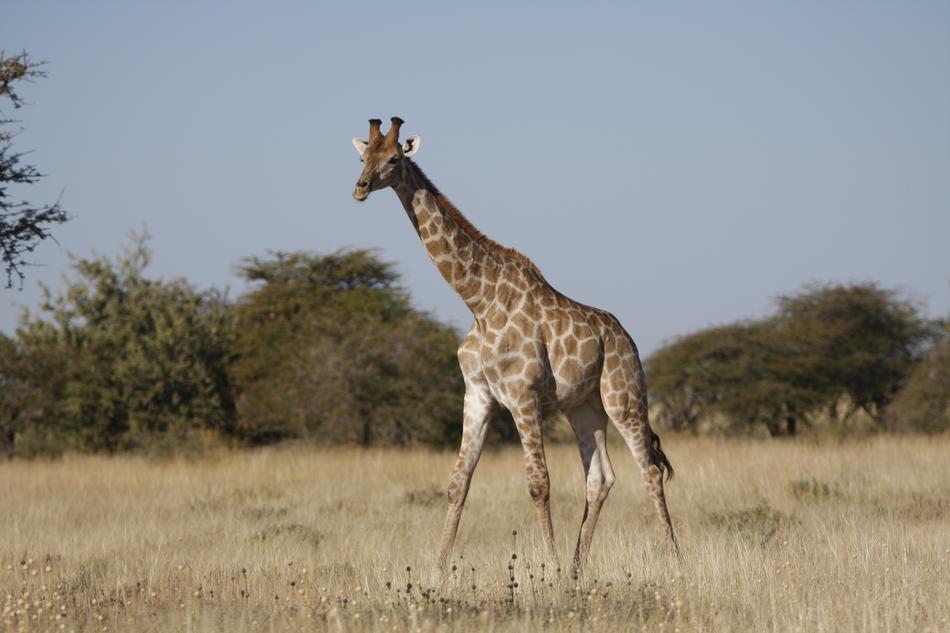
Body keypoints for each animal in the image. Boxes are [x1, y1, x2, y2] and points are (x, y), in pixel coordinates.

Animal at [352, 117, 679, 574]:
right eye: (363, 156)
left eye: (395, 159)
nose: (361, 187)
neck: (478, 301)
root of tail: (626, 337)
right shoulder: (478, 394)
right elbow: (458, 483)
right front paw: (437, 571)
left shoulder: (523, 395)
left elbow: (538, 484)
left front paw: (551, 569)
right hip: (584, 407)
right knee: (600, 478)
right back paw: (578, 569)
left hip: (624, 397)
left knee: (648, 469)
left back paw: (675, 562)